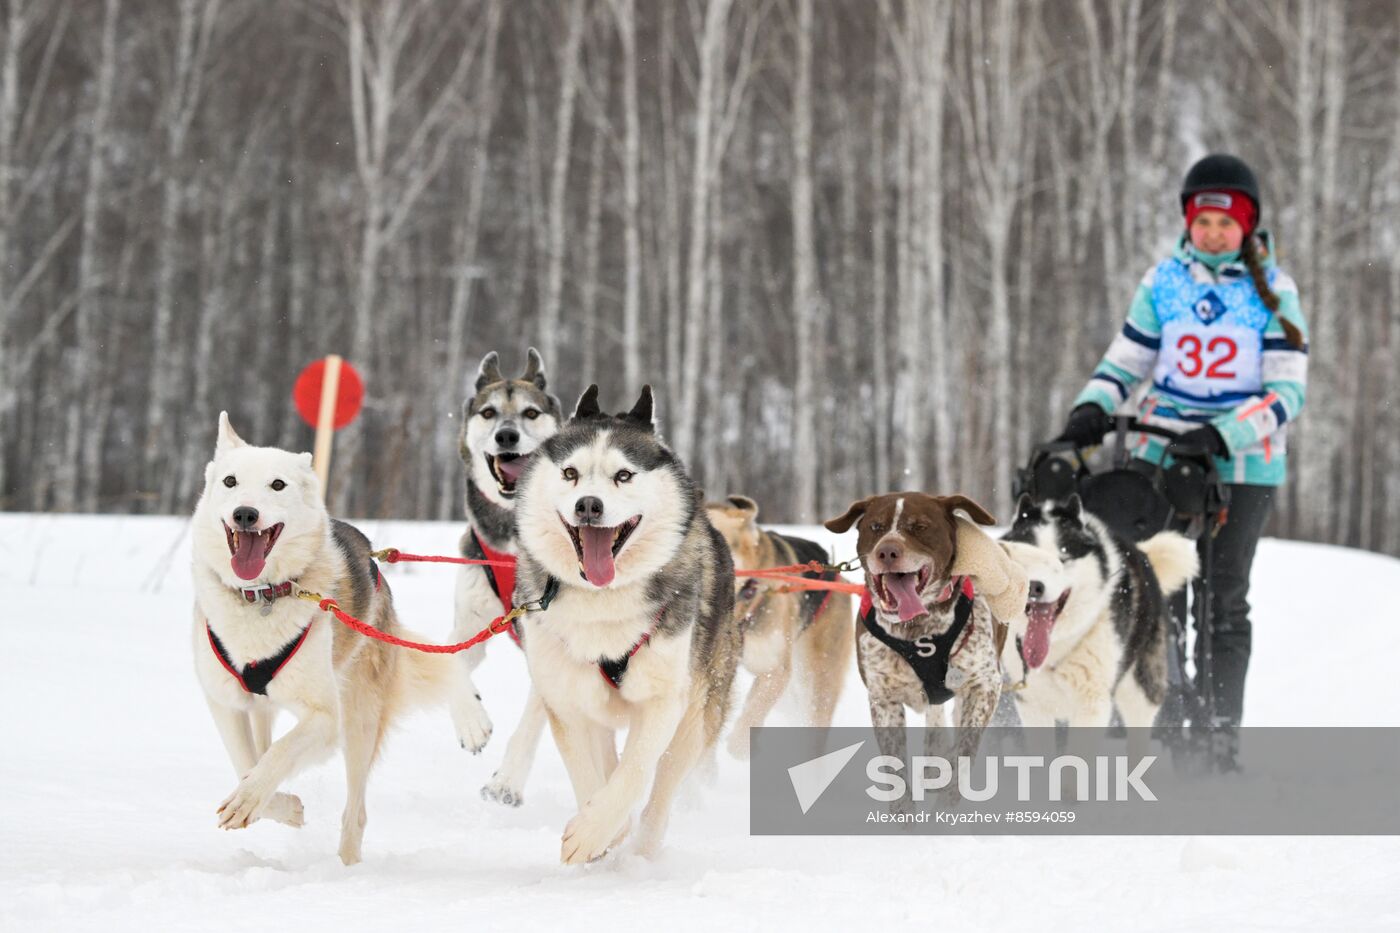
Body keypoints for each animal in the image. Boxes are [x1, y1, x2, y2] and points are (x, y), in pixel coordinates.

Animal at [189, 411, 453, 862]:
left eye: (277, 485)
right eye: (230, 481)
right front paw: (274, 805)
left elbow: (277, 755)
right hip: (265, 709)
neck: (260, 596)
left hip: (358, 722)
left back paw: (347, 865)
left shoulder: (326, 719)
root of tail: (372, 556)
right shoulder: (225, 703)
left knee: (355, 813)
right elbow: (246, 763)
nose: (245, 514)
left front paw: (253, 799)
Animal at [506, 381, 744, 862]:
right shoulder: (567, 702)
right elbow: (587, 771)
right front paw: (600, 830)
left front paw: (593, 831)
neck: (603, 600)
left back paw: (645, 847)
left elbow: (636, 770)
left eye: (623, 476)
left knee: (663, 782)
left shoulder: (663, 699)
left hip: (698, 713)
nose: (588, 506)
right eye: (570, 473)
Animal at [1002, 493, 1198, 739]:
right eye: (1026, 555)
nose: (1034, 587)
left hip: (1140, 690)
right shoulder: (1031, 704)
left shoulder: (1092, 703)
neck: (1057, 646)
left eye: (1063, 558)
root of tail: (1142, 554)